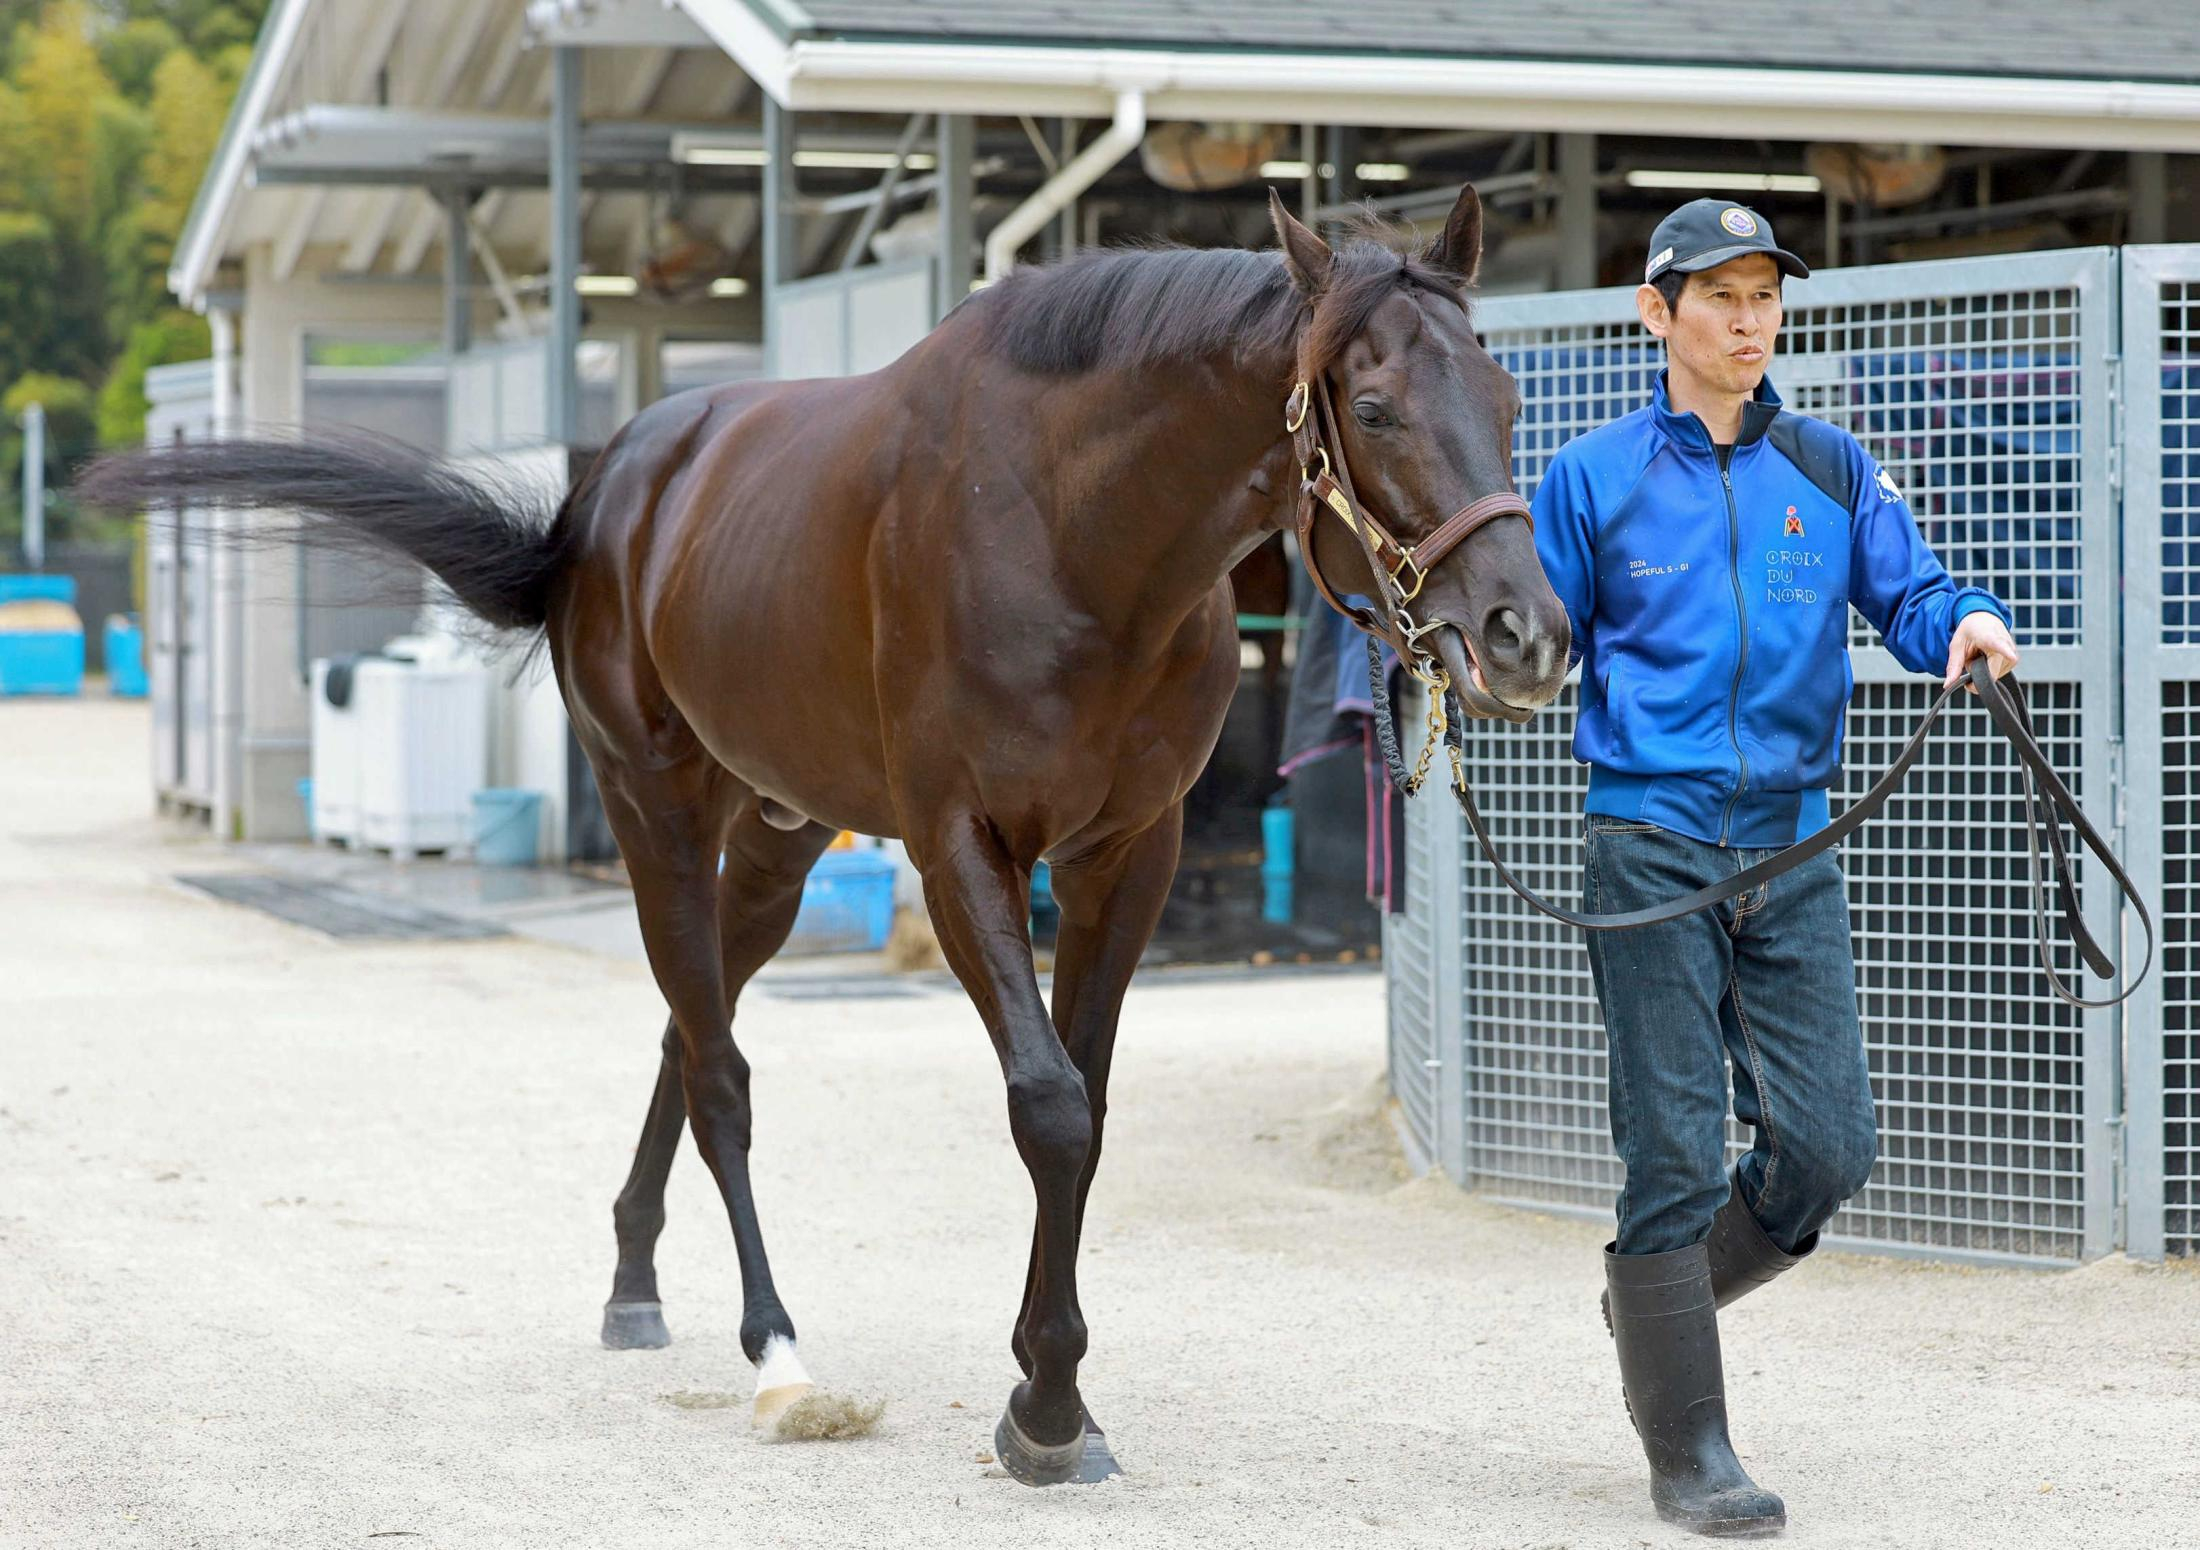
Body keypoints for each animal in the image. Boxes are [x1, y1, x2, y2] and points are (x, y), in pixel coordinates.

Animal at [82, 185, 1570, 1486]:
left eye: (1505, 402)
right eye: (1370, 406)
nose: (1527, 635)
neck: (1072, 531)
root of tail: (606, 491)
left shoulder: (1126, 855)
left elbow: (1087, 1101)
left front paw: (1052, 1394)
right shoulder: (959, 845)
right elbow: (1048, 1106)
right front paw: (1045, 1404)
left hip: (780, 840)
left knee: (688, 1028)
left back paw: (633, 1279)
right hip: (657, 807)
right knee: (721, 1072)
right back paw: (777, 1353)